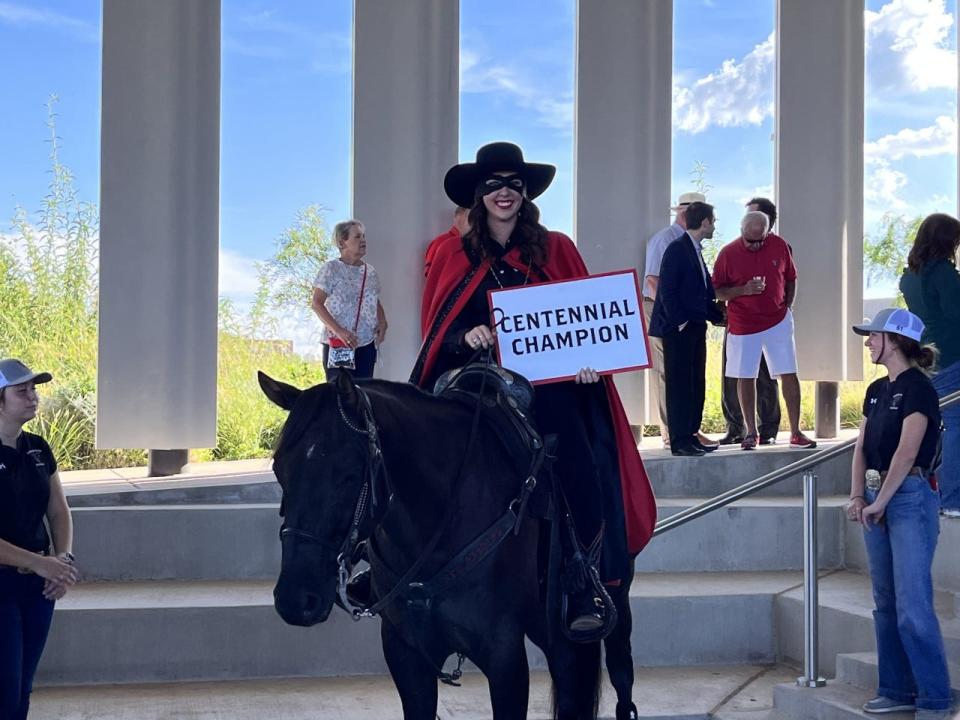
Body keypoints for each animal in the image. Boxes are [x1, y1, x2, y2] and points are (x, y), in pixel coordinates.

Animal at [258, 372, 640, 720]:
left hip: (602, 608)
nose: (296, 600)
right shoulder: (406, 655)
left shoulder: (504, 657)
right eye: (279, 469)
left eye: (350, 474)